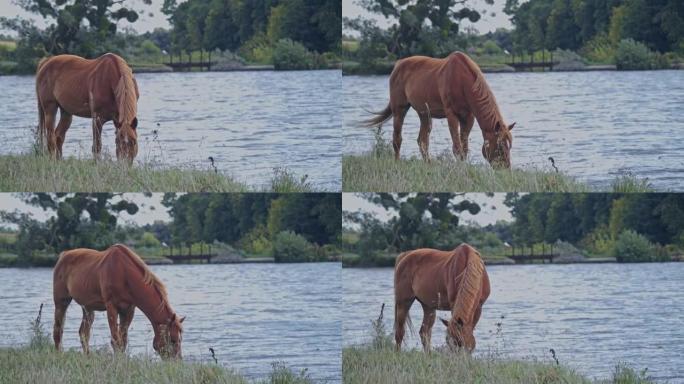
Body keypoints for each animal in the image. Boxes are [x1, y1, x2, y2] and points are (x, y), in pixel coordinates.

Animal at [52, 244, 184, 358]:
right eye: (172, 340)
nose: (177, 362)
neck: (124, 273)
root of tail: (63, 255)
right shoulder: (111, 307)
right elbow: (116, 340)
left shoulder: (129, 310)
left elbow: (123, 341)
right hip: (61, 302)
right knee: (58, 331)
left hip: (88, 308)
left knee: (84, 333)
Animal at [364, 51, 512, 168]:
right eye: (500, 146)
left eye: (509, 146)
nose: (505, 169)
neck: (462, 80)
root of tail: (398, 65)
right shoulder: (451, 114)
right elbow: (457, 148)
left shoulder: (469, 117)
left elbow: (464, 148)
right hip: (399, 109)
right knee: (397, 139)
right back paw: (397, 163)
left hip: (424, 113)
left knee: (422, 141)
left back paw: (428, 164)